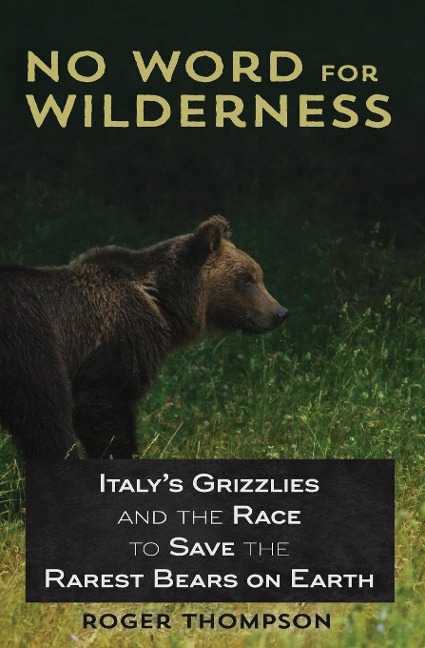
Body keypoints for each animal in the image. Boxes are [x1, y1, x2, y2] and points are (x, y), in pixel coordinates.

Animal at [0, 216, 288, 460]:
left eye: (258, 276)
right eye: (247, 279)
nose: (279, 312)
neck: (163, 304)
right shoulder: (116, 340)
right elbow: (104, 407)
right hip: (33, 344)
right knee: (46, 419)